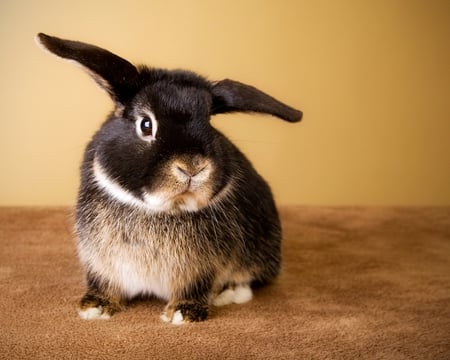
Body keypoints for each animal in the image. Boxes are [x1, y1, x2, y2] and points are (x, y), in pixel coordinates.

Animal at [36, 31, 302, 324]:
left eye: (209, 123)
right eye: (146, 124)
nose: (192, 167)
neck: (163, 209)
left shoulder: (201, 267)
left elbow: (196, 285)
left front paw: (183, 313)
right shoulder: (101, 260)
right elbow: (104, 282)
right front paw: (96, 307)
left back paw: (228, 292)